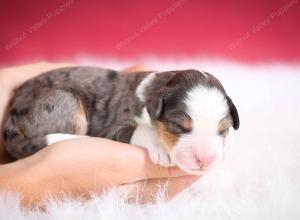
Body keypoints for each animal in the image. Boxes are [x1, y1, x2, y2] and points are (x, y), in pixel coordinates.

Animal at [1, 66, 238, 174]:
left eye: (223, 130)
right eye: (179, 126)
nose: (205, 160)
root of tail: (9, 120)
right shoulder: (112, 127)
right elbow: (140, 129)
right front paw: (160, 147)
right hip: (66, 102)